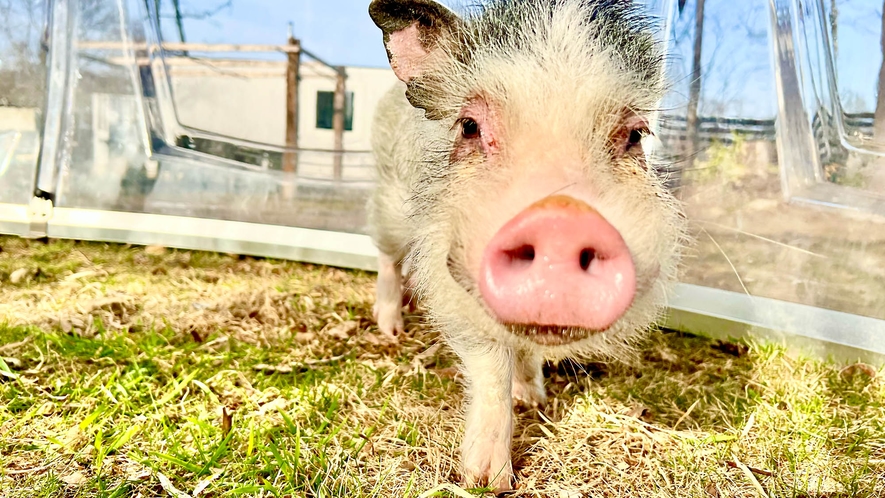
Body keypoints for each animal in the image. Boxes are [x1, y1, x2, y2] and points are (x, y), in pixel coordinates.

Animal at [366, 0, 684, 490]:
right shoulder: (449, 285)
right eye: (469, 126)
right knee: (384, 253)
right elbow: (490, 366)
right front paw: (486, 481)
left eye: (635, 134)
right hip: (389, 204)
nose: (561, 220)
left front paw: (533, 399)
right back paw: (390, 328)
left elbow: (526, 352)